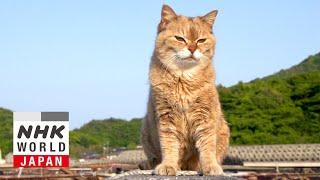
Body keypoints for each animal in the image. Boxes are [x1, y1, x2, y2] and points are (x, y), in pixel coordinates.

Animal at [140, 4, 230, 176]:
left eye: (201, 40)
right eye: (180, 38)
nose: (192, 48)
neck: (183, 78)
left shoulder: (205, 116)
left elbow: (207, 145)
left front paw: (210, 166)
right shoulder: (166, 117)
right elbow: (169, 145)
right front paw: (168, 165)